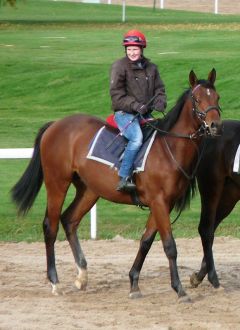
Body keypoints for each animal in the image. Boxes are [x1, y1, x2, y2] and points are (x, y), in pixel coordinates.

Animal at [11, 69, 221, 300]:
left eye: (217, 98)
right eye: (198, 99)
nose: (215, 126)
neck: (169, 148)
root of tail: (55, 124)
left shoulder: (162, 204)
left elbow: (146, 242)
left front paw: (134, 283)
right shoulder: (159, 202)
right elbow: (169, 246)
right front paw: (179, 289)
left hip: (89, 190)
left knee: (70, 221)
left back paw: (82, 275)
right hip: (57, 183)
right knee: (51, 226)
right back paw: (55, 281)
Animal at [190, 119, 239, 288]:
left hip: (230, 193)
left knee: (211, 227)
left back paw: (199, 275)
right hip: (211, 186)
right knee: (206, 228)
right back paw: (212, 278)